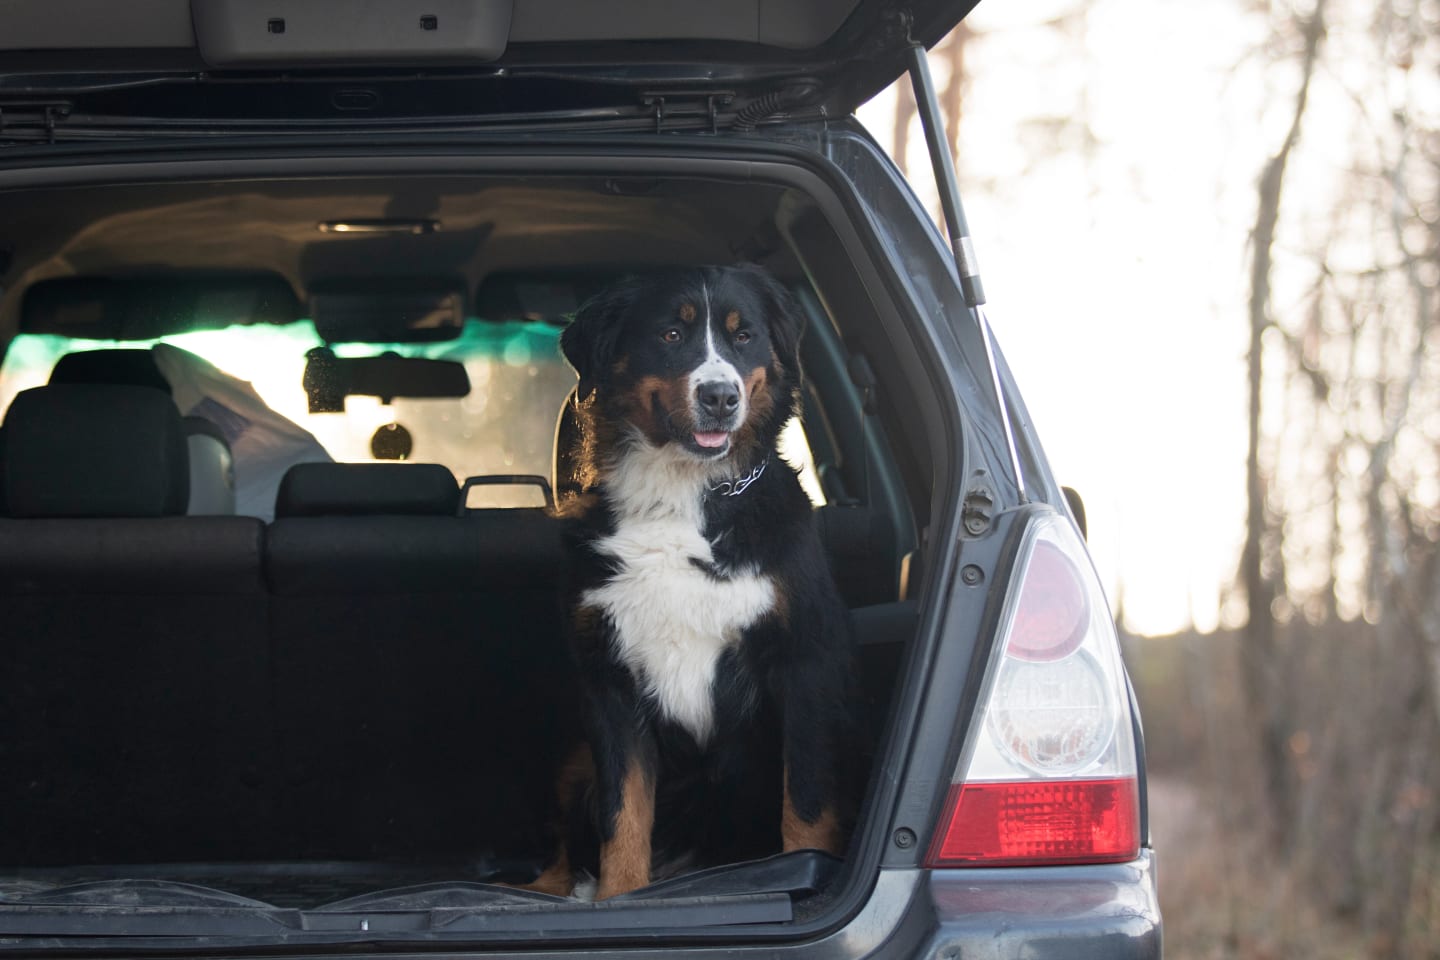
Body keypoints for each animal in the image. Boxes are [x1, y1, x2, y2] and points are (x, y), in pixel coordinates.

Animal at [541, 264, 852, 903]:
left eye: (743, 336)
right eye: (670, 334)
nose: (720, 397)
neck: (679, 496)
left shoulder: (804, 663)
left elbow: (806, 803)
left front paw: (802, 871)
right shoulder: (609, 681)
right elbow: (623, 813)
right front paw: (618, 898)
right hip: (573, 760)